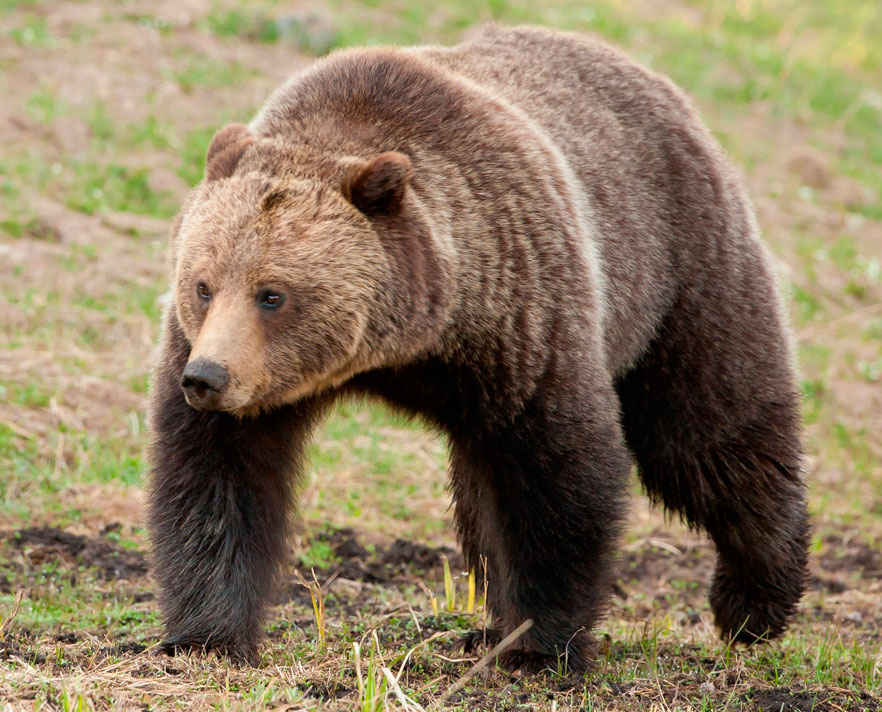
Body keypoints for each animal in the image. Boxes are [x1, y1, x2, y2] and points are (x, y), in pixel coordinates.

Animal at [148, 26, 808, 672]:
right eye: (203, 284)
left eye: (273, 294)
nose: (207, 377)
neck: (408, 345)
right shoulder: (235, 370)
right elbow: (217, 475)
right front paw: (206, 634)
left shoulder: (523, 322)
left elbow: (556, 476)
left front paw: (539, 646)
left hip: (682, 270)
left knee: (711, 432)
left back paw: (754, 602)